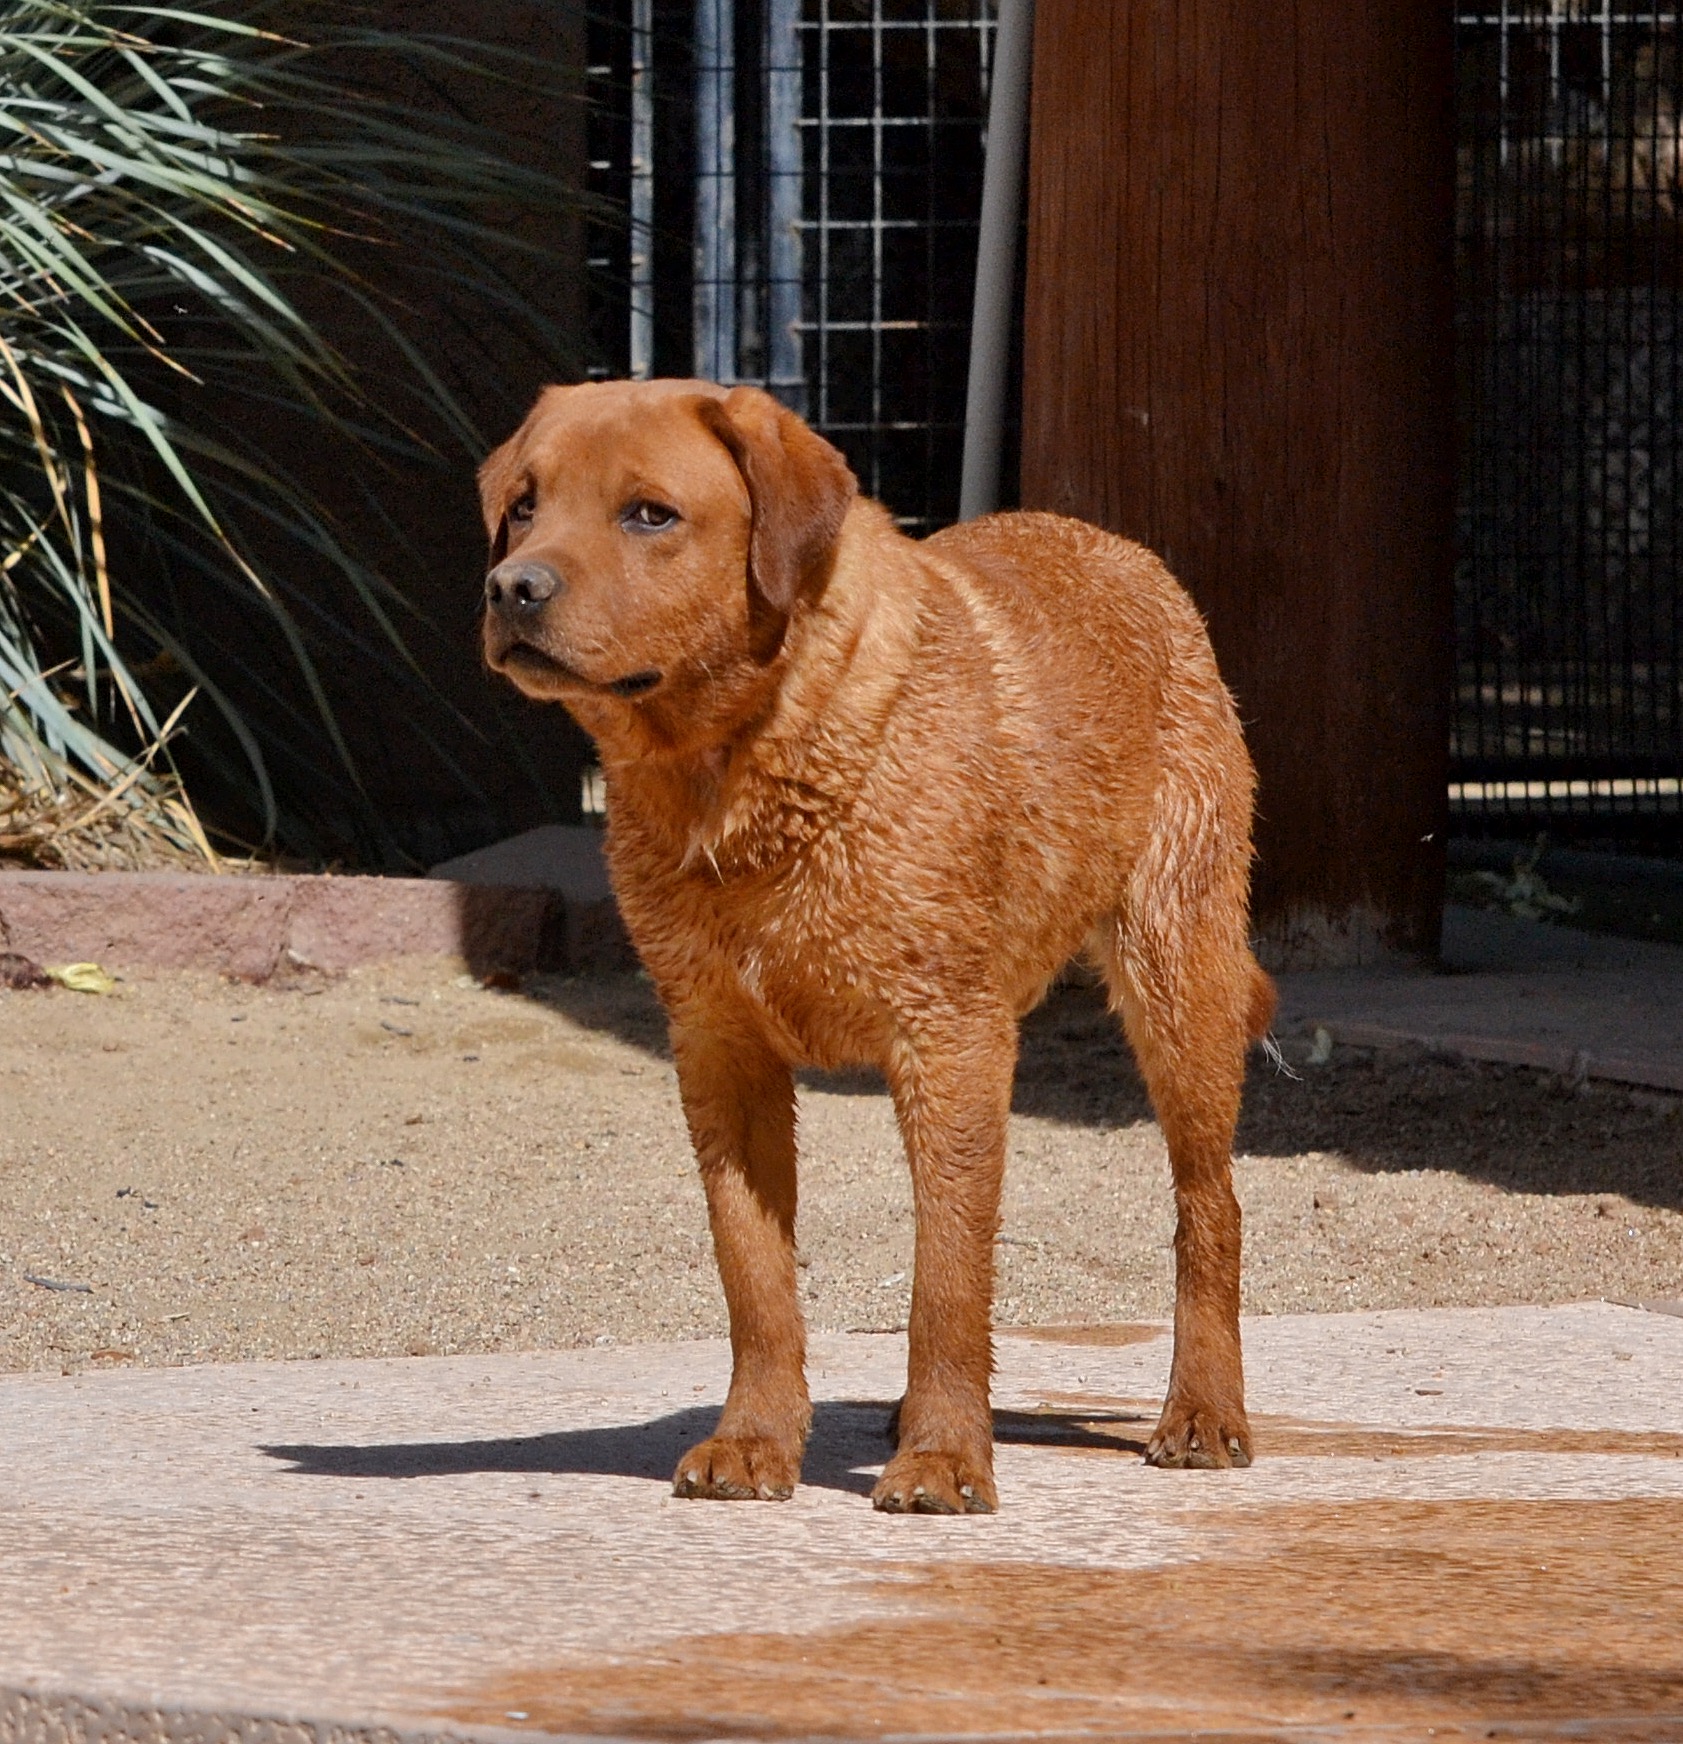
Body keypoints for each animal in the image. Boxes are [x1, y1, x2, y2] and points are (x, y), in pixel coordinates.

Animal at [478, 379, 1275, 1513]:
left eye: (649, 514)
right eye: (523, 507)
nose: (511, 586)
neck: (740, 777)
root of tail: (1126, 552)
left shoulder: (950, 1041)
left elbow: (944, 1278)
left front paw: (943, 1458)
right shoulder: (718, 1049)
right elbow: (754, 1274)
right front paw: (757, 1439)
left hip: (1180, 979)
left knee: (1210, 1208)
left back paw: (1203, 1410)